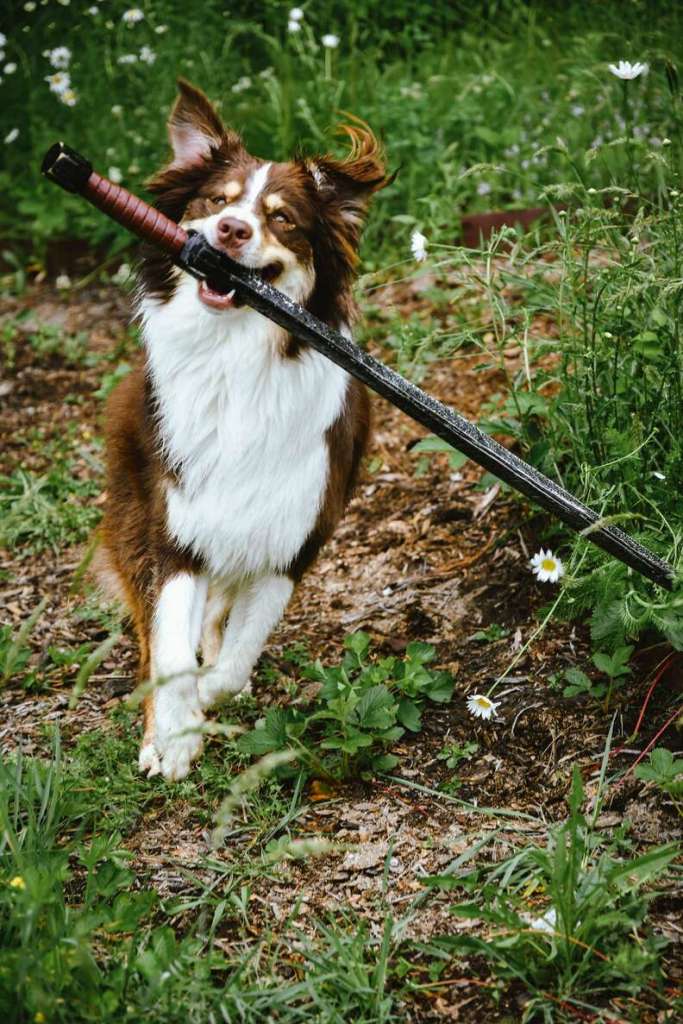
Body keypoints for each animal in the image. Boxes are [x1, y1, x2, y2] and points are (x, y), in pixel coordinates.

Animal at [98, 79, 393, 778]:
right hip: (133, 507)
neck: (235, 361)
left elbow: (232, 663)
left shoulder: (293, 541)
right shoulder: (175, 531)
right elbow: (170, 650)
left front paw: (206, 701)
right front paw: (174, 736)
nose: (230, 230)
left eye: (282, 218)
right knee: (152, 636)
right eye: (217, 201)